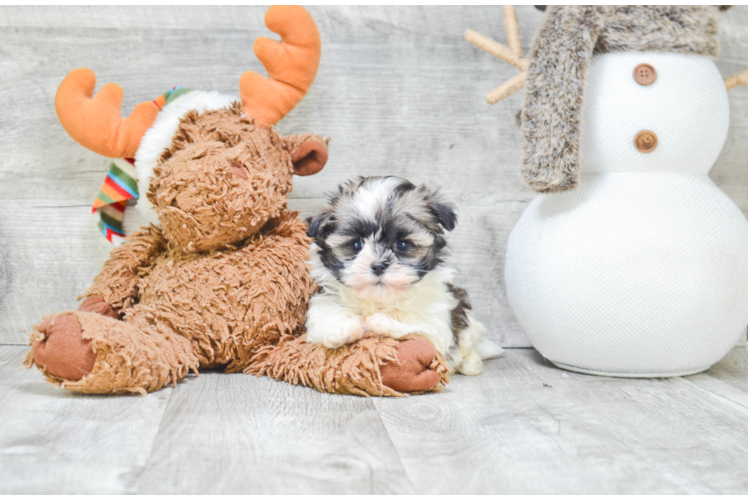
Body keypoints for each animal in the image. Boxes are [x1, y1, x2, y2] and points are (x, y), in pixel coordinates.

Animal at [304, 176, 502, 376]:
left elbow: (420, 330)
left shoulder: (438, 322)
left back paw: (472, 362)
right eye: (356, 244)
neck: (381, 300)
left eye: (402, 245)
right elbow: (324, 320)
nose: (378, 265)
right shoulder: (325, 302)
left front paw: (380, 322)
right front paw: (341, 330)